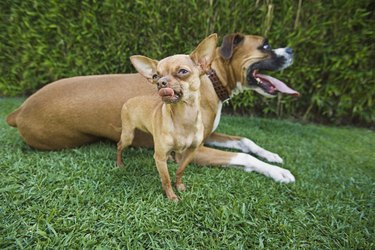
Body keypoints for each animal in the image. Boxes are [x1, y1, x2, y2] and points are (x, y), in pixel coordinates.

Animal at [5, 32, 300, 182]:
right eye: (265, 46)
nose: (291, 50)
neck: (212, 79)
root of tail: (20, 110)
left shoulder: (207, 135)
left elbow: (244, 141)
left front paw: (272, 156)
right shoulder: (190, 152)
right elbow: (242, 156)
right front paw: (279, 172)